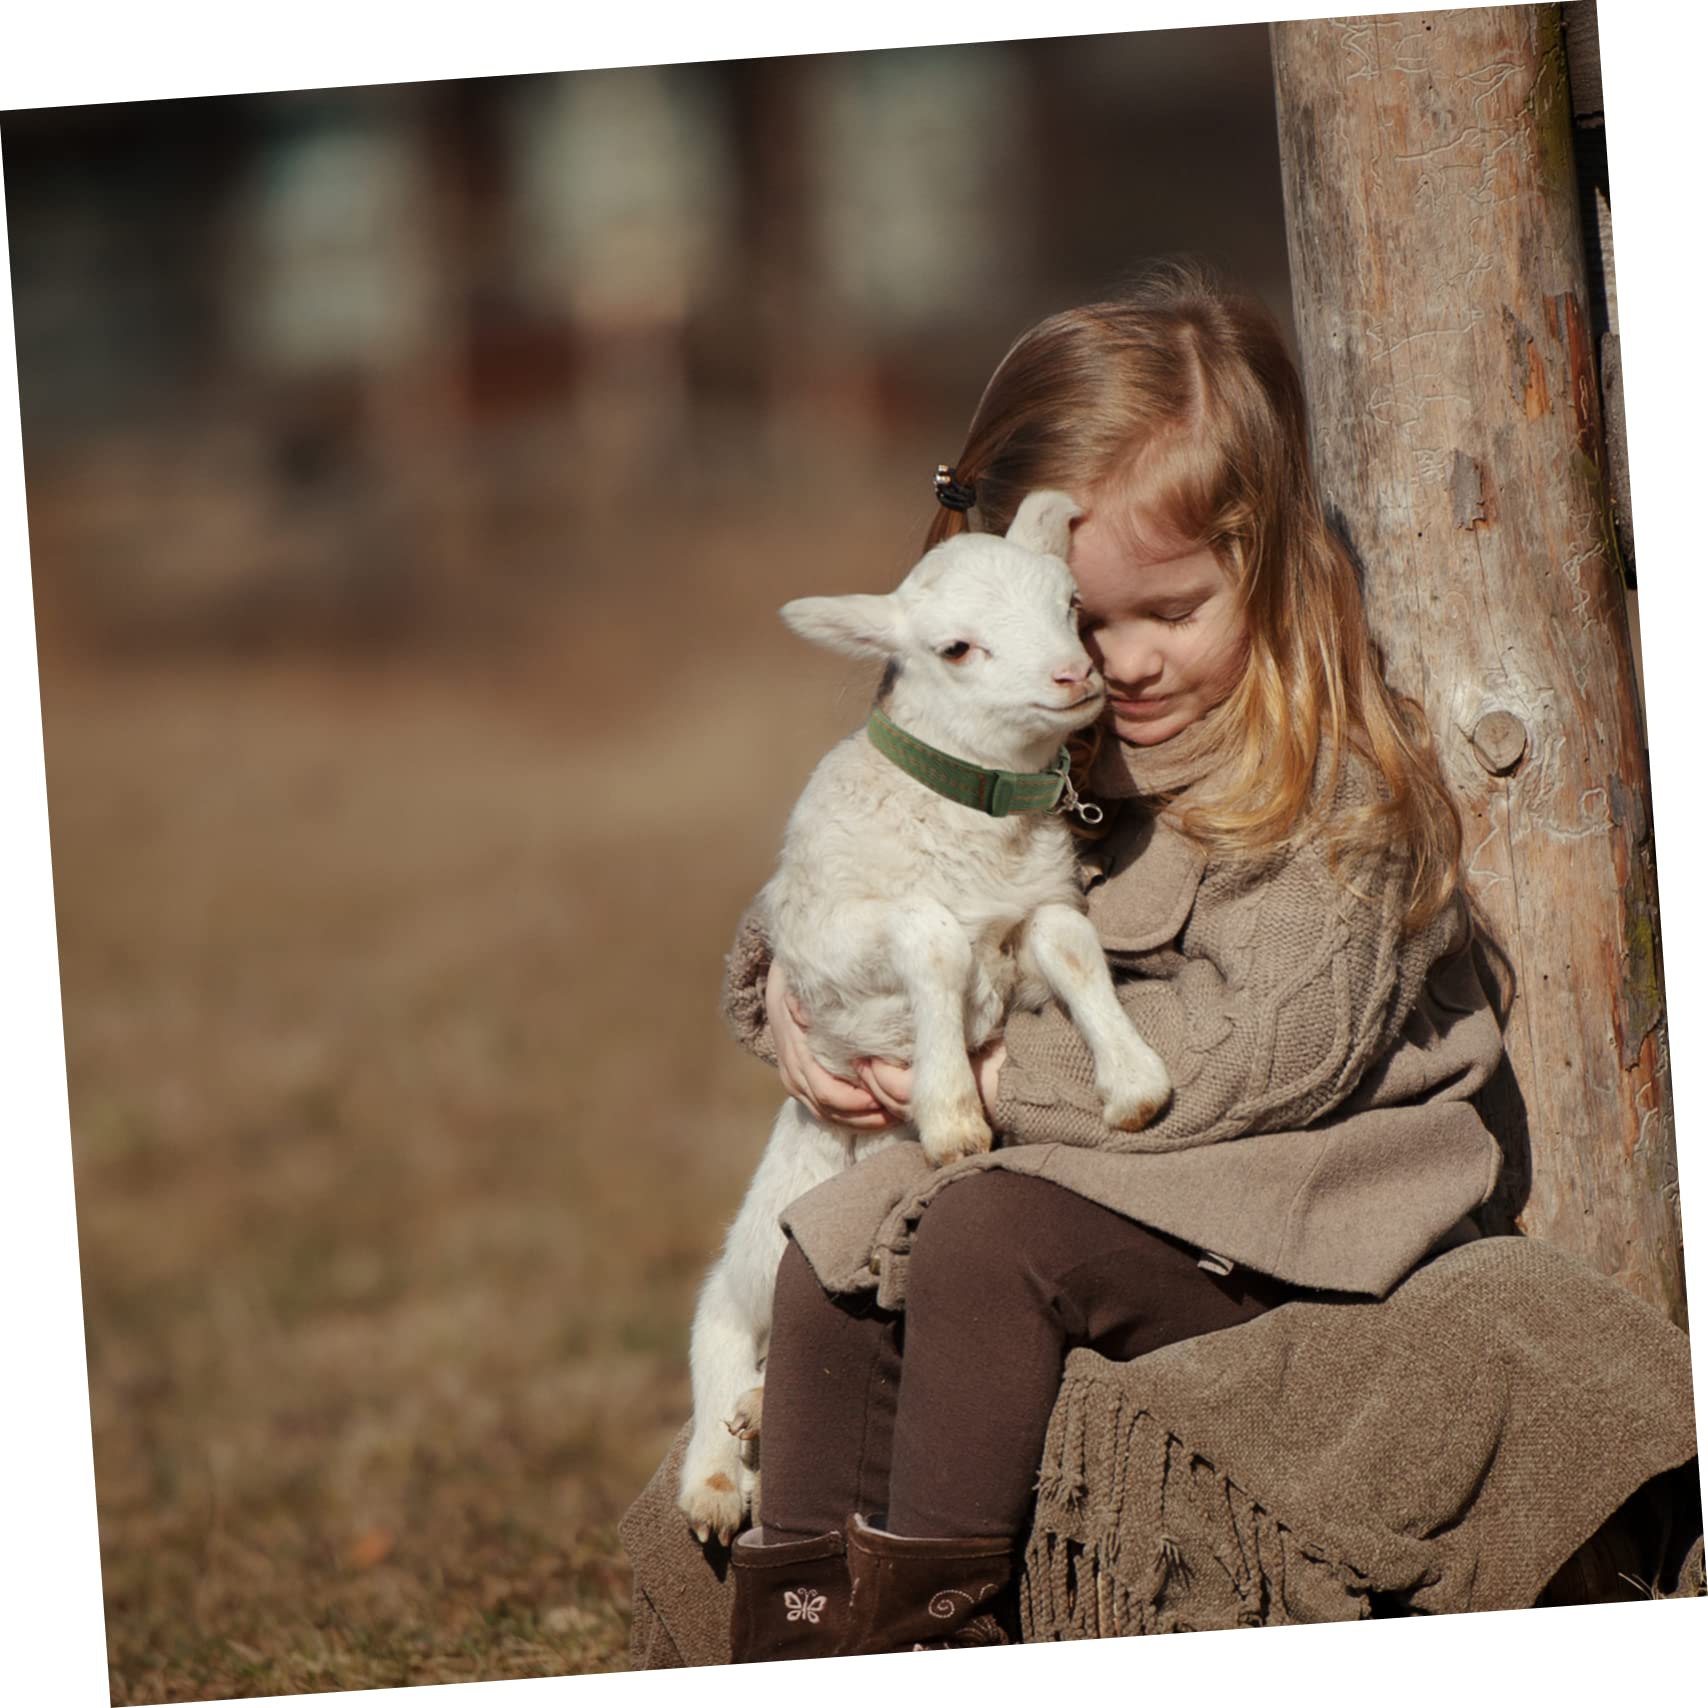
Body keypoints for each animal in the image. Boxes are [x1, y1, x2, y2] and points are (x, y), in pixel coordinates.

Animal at [678, 489, 1172, 1544]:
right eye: (956, 648)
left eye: (1072, 605)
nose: (1074, 677)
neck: (977, 824)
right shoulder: (831, 945)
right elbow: (934, 938)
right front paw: (951, 1117)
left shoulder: (1038, 909)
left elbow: (1074, 948)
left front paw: (1134, 1084)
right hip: (758, 1248)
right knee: (717, 1331)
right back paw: (715, 1478)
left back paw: (756, 1416)